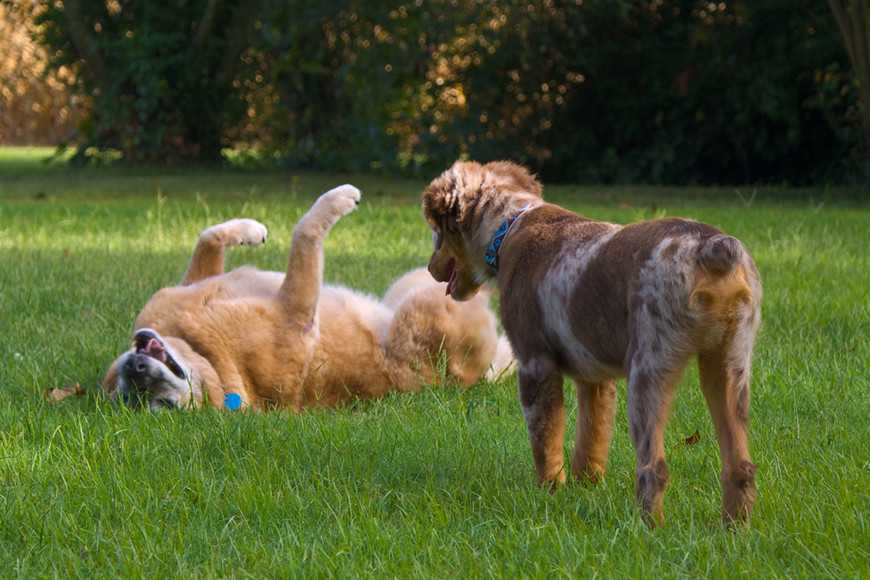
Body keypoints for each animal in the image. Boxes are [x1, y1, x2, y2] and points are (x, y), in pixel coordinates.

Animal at [422, 160, 764, 524]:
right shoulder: (595, 378)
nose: (430, 269)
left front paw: (550, 490)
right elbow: (592, 435)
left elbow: (546, 438)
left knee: (653, 467)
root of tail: (711, 248)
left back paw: (647, 527)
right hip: (729, 366)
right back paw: (732, 528)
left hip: (649, 370)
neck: (510, 225)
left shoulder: (535, 365)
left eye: (437, 233)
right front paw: (586, 485)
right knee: (740, 466)